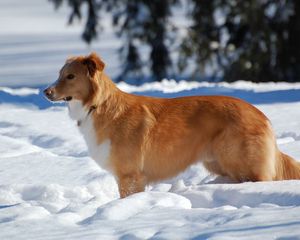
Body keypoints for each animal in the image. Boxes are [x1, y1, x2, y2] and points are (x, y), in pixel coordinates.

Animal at [44, 53, 300, 198]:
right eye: (59, 74)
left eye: (70, 77)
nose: (45, 92)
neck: (97, 105)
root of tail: (261, 114)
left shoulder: (130, 176)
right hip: (219, 164)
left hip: (241, 163)